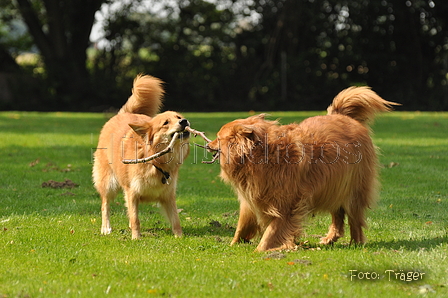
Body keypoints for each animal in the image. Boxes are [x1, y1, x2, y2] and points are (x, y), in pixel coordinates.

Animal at [92, 75, 190, 240]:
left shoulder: (168, 195)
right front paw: (136, 238)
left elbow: (175, 219)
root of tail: (123, 113)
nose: (184, 121)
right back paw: (106, 228)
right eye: (166, 123)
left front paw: (180, 237)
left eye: (179, 117)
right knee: (105, 205)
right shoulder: (131, 192)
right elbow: (135, 218)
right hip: (108, 182)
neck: (156, 162)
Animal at [207, 86, 400, 251]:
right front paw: (233, 244)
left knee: (354, 218)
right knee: (338, 216)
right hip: (334, 186)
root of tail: (344, 117)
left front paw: (261, 250)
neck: (263, 155)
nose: (208, 144)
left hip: (354, 190)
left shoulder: (287, 205)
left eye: (218, 137)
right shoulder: (251, 200)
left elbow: (272, 231)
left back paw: (356, 242)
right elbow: (242, 225)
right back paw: (330, 239)